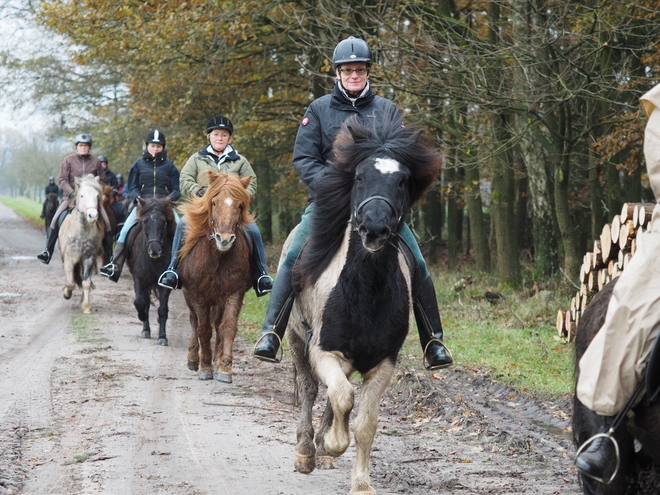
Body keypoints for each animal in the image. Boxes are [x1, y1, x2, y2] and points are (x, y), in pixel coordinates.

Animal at [58, 174, 105, 314]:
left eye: (97, 195)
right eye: (82, 195)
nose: (93, 216)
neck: (82, 231)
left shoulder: (89, 258)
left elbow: (86, 282)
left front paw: (86, 306)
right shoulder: (69, 258)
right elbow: (70, 282)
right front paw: (66, 294)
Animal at [125, 197, 177, 344]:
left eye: (164, 222)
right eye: (144, 221)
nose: (154, 250)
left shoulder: (164, 283)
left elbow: (163, 309)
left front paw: (162, 337)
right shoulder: (139, 278)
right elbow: (140, 302)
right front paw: (141, 316)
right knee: (145, 302)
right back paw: (145, 329)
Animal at [286, 117, 440, 495]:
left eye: (402, 180)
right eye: (358, 177)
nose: (374, 229)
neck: (366, 291)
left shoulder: (383, 363)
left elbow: (365, 422)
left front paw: (361, 483)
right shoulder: (323, 350)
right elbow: (341, 396)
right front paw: (332, 444)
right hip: (296, 340)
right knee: (312, 389)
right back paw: (307, 451)